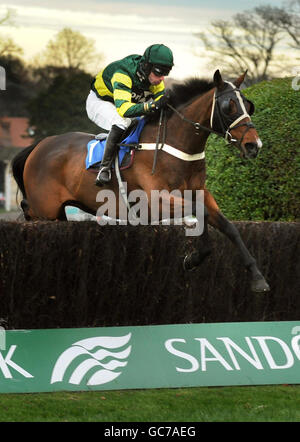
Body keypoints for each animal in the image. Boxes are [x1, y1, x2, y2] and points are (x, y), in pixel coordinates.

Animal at [11, 70, 270, 294]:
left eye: (248, 105)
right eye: (228, 106)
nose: (253, 145)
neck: (174, 145)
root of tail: (40, 145)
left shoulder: (200, 193)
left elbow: (229, 226)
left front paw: (258, 277)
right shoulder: (156, 202)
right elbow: (201, 213)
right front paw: (194, 258)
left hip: (56, 211)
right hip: (45, 208)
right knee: (27, 210)